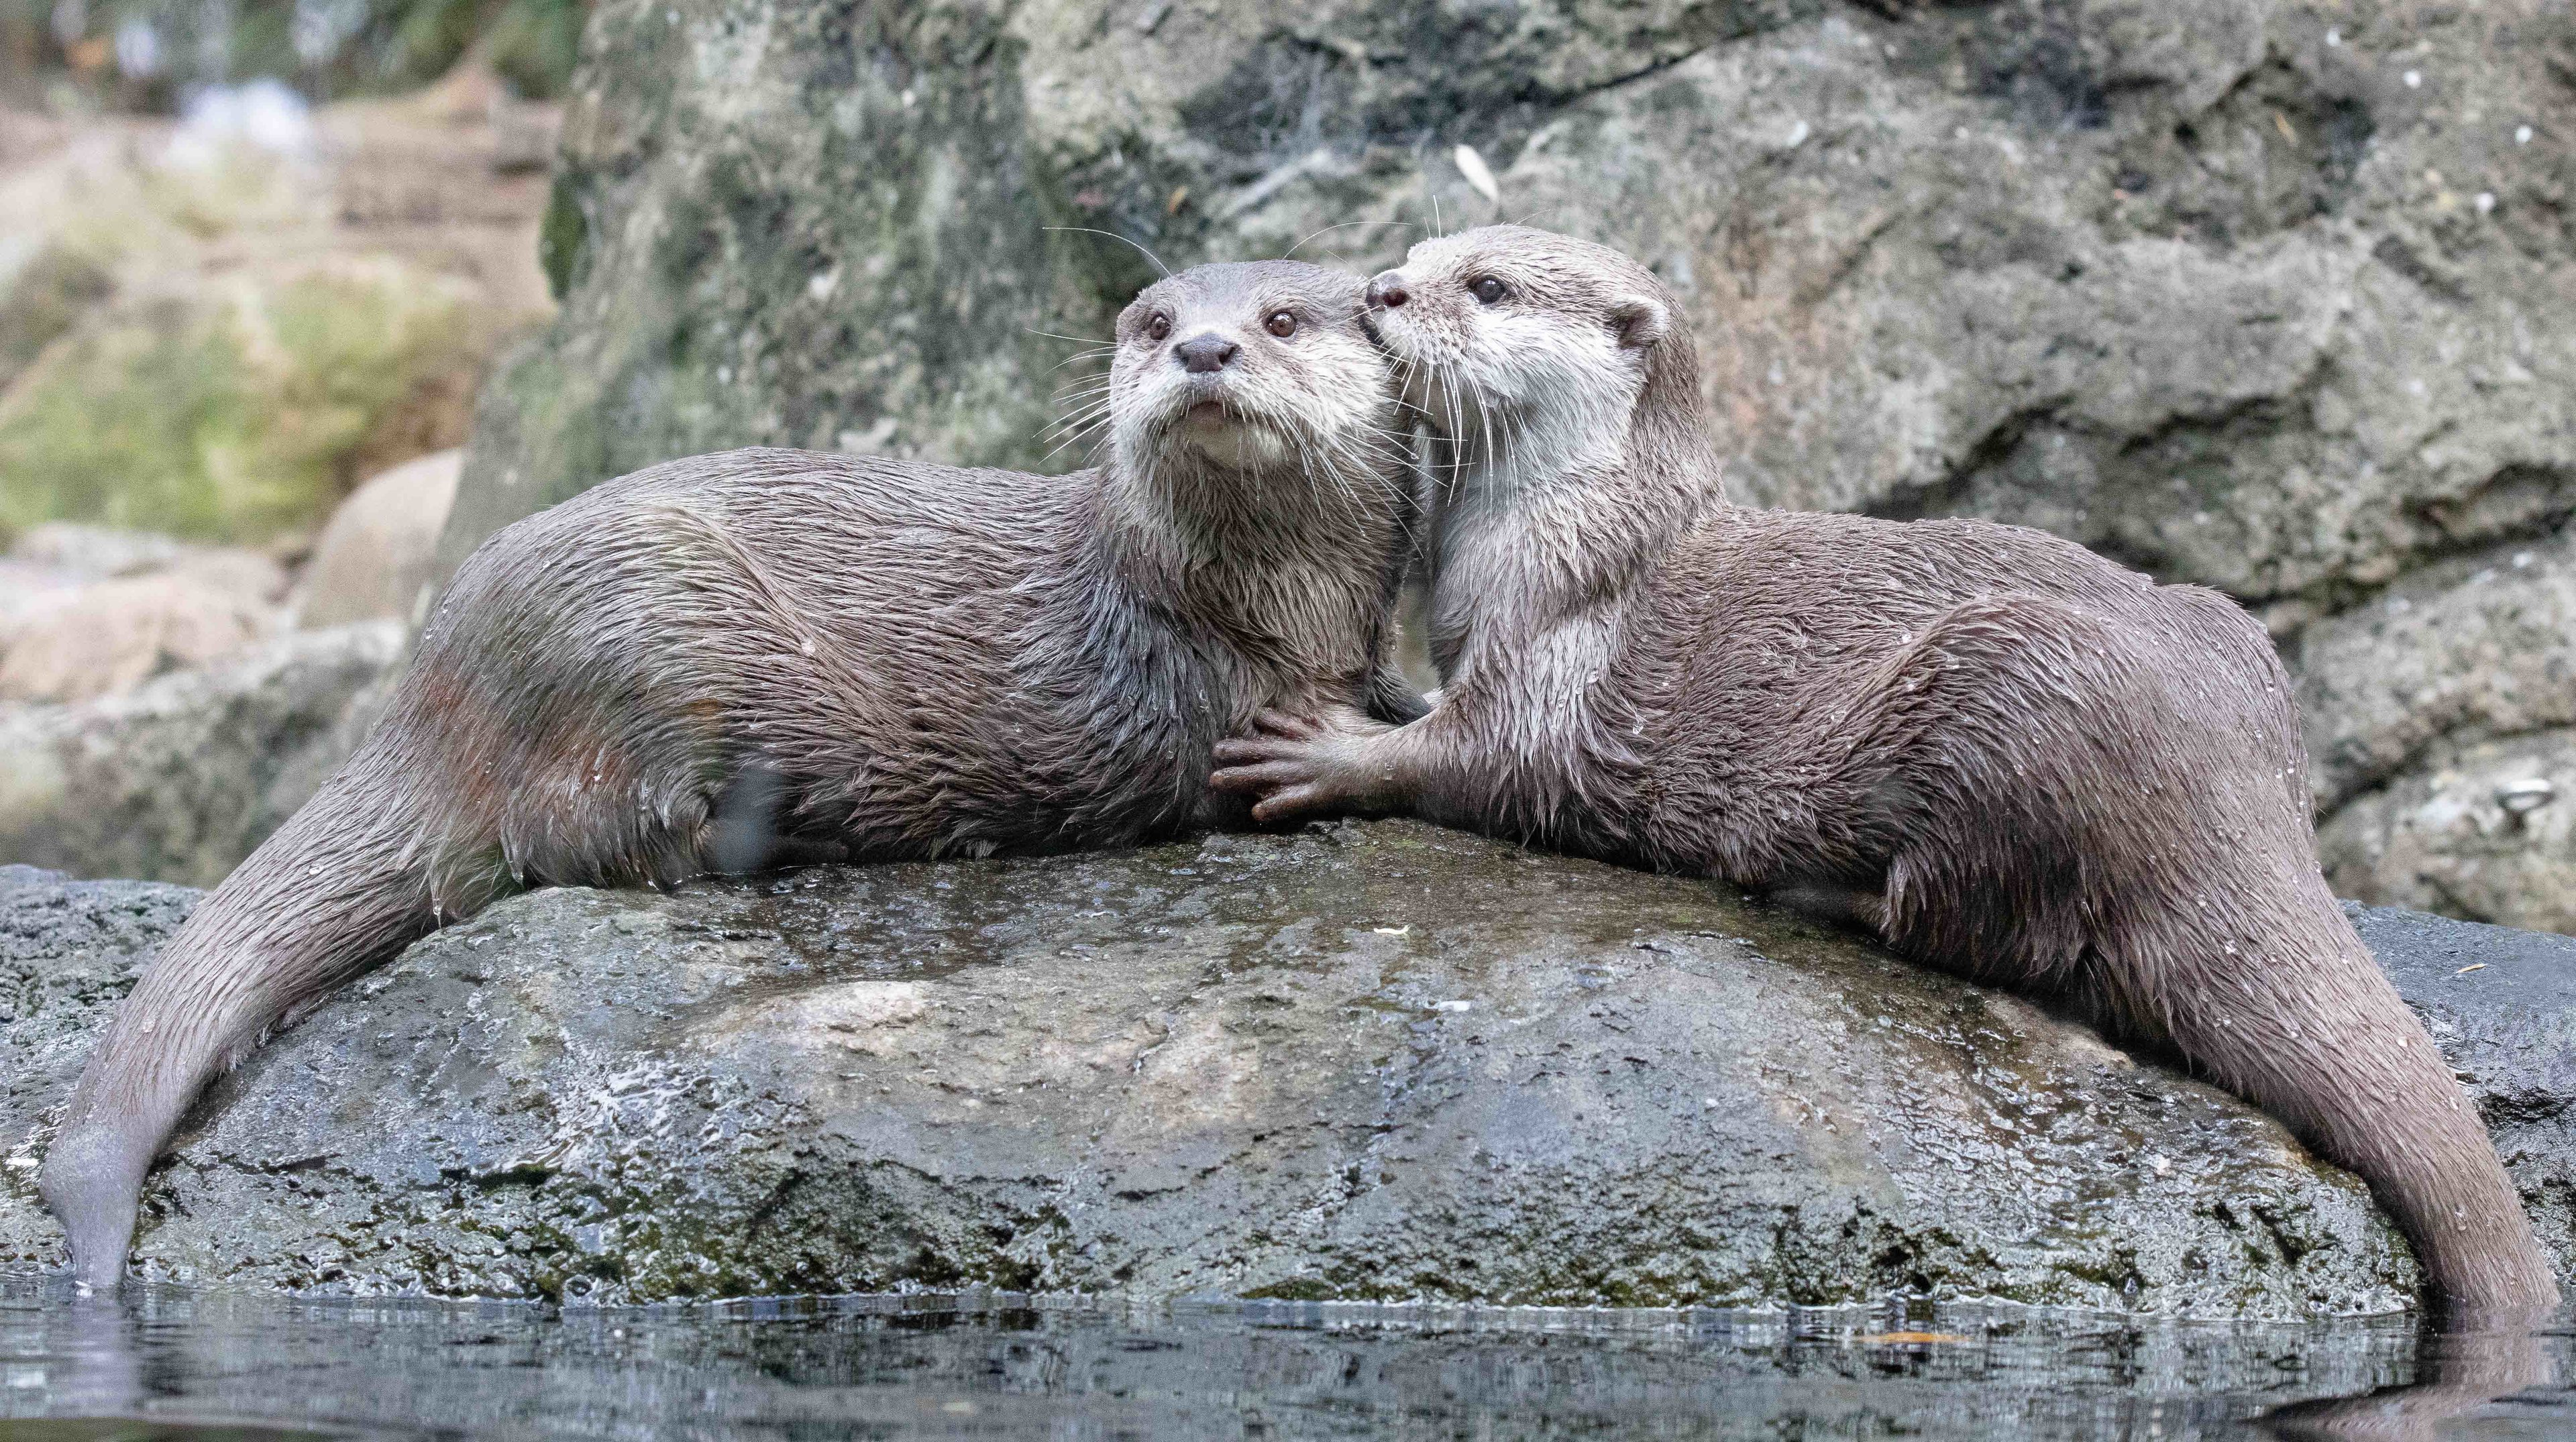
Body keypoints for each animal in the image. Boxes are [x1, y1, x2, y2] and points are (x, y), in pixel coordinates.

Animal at [42, 260, 1423, 1288]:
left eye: (1282, 318)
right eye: (1152, 323)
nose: (1206, 351)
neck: (1256, 609)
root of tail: (439, 676)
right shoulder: (1160, 689)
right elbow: (1212, 769)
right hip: (654, 636)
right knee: (592, 839)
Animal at [1210, 226, 2559, 1325]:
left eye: (1486, 286)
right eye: (1419, 252)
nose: (1381, 291)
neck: (1557, 522)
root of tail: (2236, 793)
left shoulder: (1561, 650)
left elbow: (1482, 758)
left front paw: (1325, 748)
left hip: (2009, 697)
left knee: (1984, 930)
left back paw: (1818, 888)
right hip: (2213, 641)